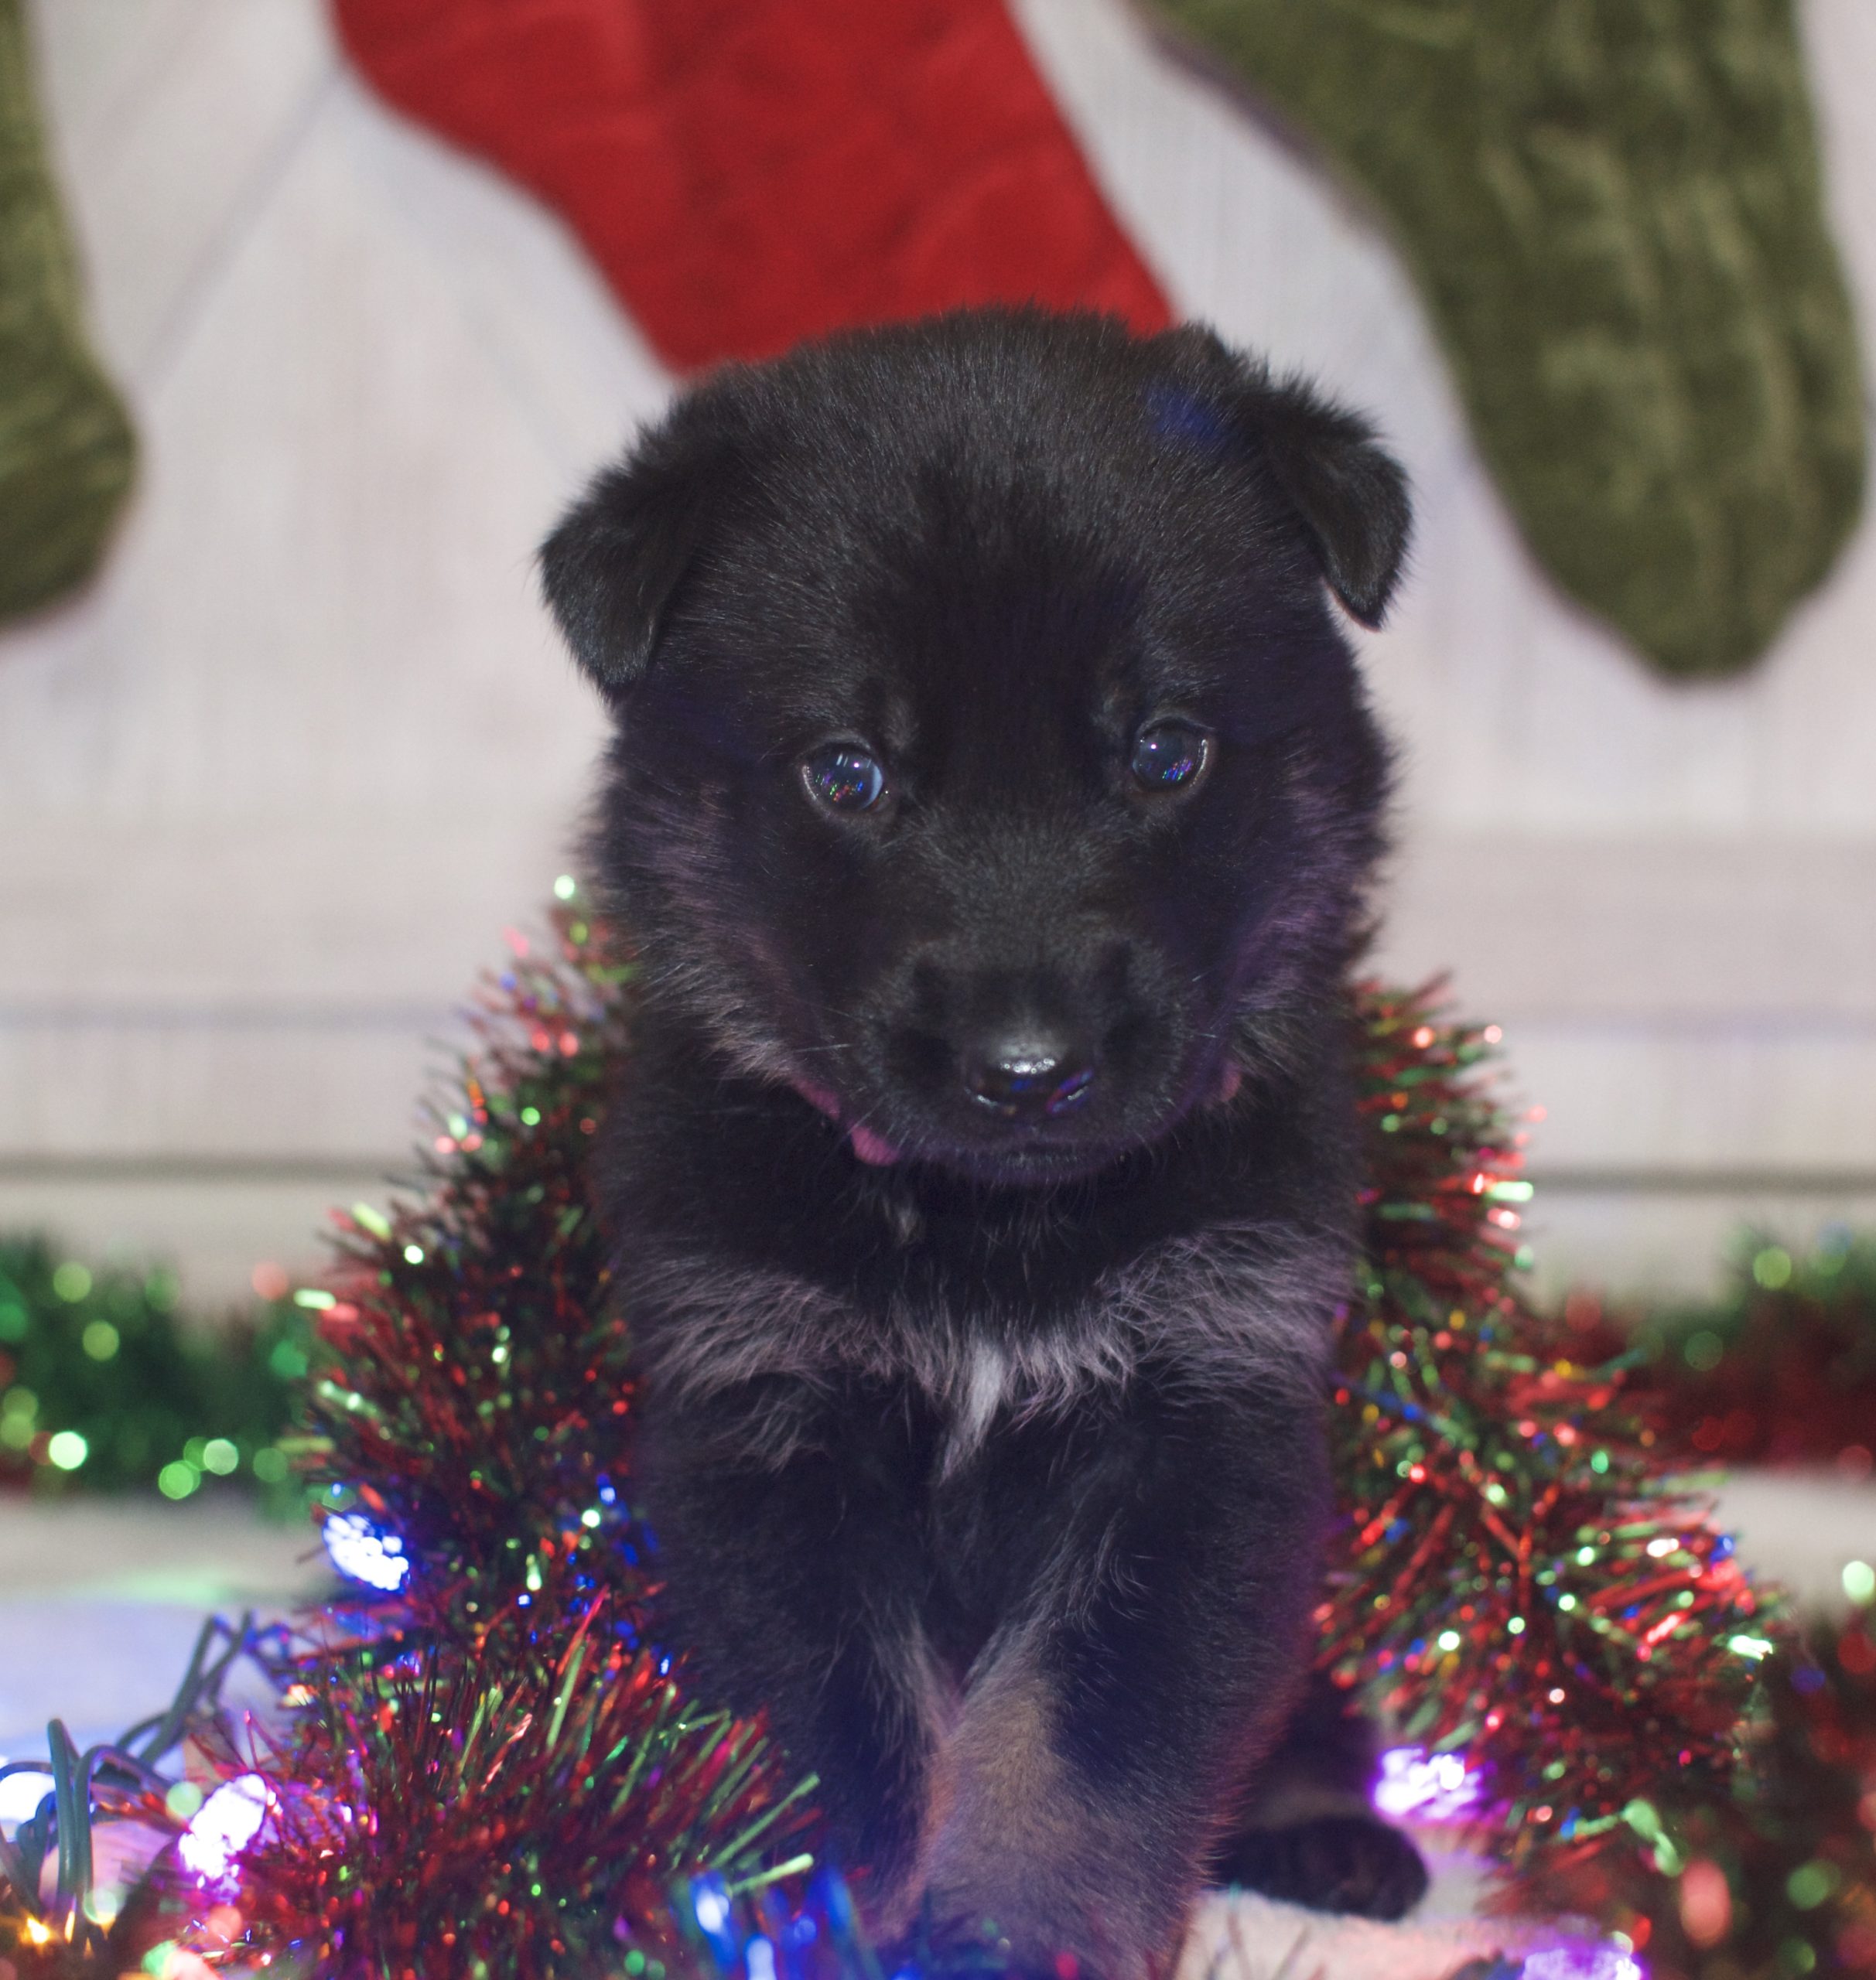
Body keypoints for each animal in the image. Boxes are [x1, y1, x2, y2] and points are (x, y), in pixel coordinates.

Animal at [541, 308, 1425, 1978]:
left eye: (1164, 751)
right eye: (849, 771)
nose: (1030, 1073)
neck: (985, 1232)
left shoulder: (1204, 1421)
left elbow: (1082, 1743)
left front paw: (1014, 1931)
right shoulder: (766, 1421)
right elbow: (848, 1744)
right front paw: (831, 1919)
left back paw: (1328, 1827)